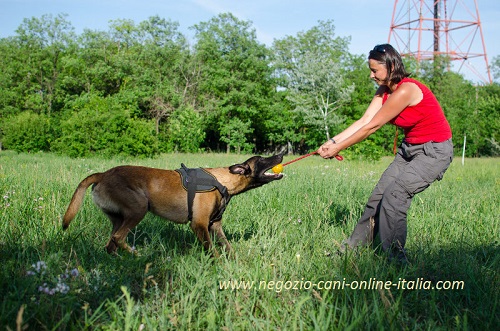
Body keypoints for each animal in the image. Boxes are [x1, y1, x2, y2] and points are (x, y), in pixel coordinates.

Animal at [62, 156, 284, 256]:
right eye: (263, 159)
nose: (281, 155)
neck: (222, 181)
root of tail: (103, 174)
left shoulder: (215, 226)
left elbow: (227, 246)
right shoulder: (199, 225)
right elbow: (212, 250)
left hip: (119, 218)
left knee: (111, 243)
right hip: (139, 208)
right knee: (118, 238)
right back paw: (137, 255)